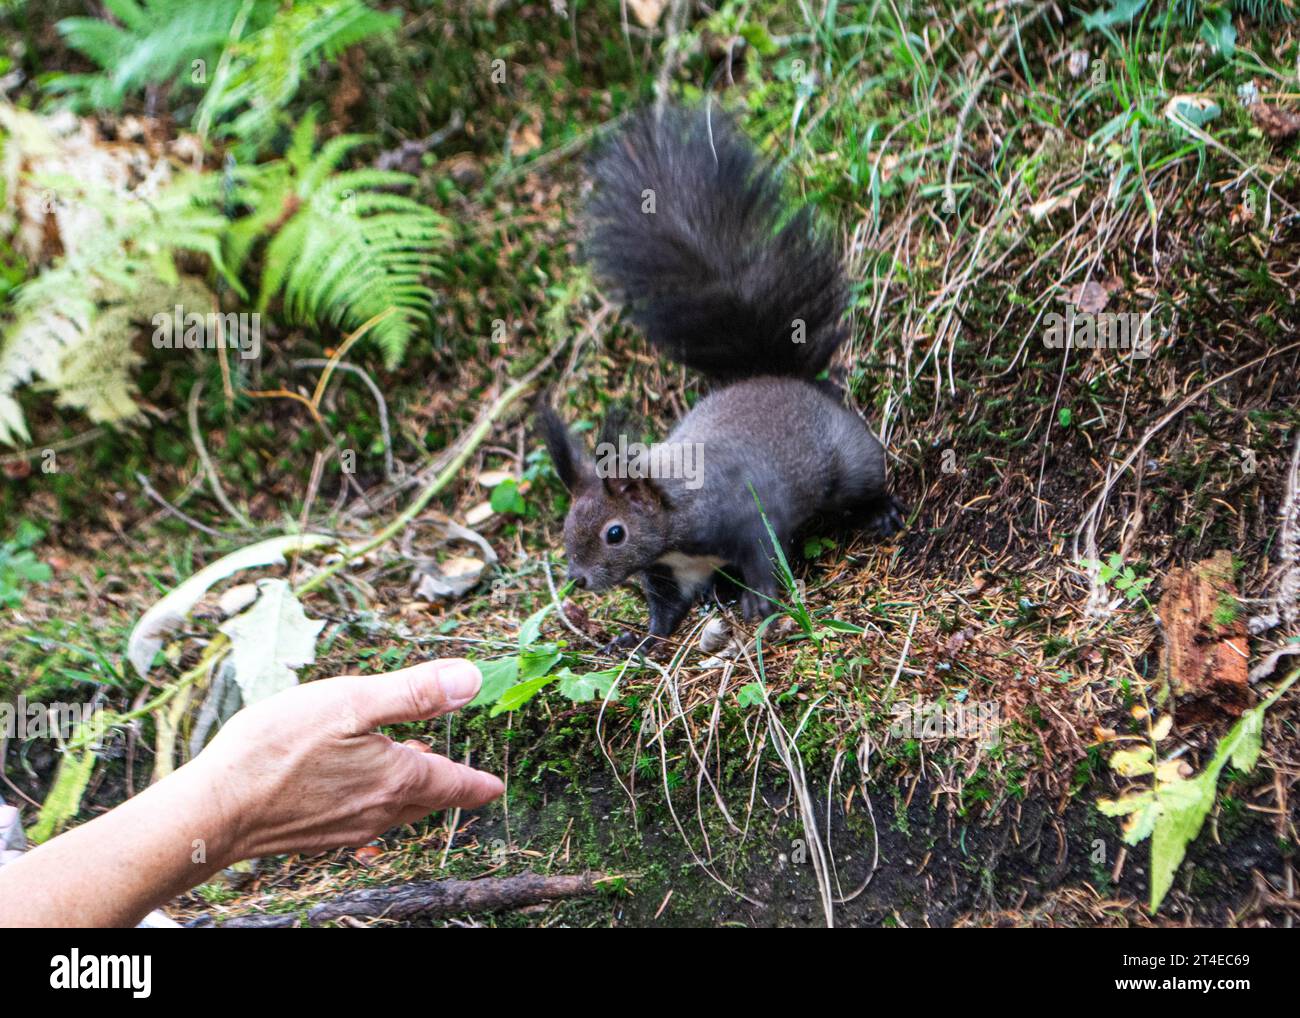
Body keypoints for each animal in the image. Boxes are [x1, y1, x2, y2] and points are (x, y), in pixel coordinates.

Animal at [538, 105, 904, 644]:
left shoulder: (748, 516)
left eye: (615, 533)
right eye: (566, 525)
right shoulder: (667, 572)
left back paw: (878, 511)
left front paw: (760, 602)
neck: (673, 523)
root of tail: (775, 378)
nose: (577, 579)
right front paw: (641, 637)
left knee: (864, 480)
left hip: (851, 462)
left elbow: (764, 557)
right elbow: (665, 611)